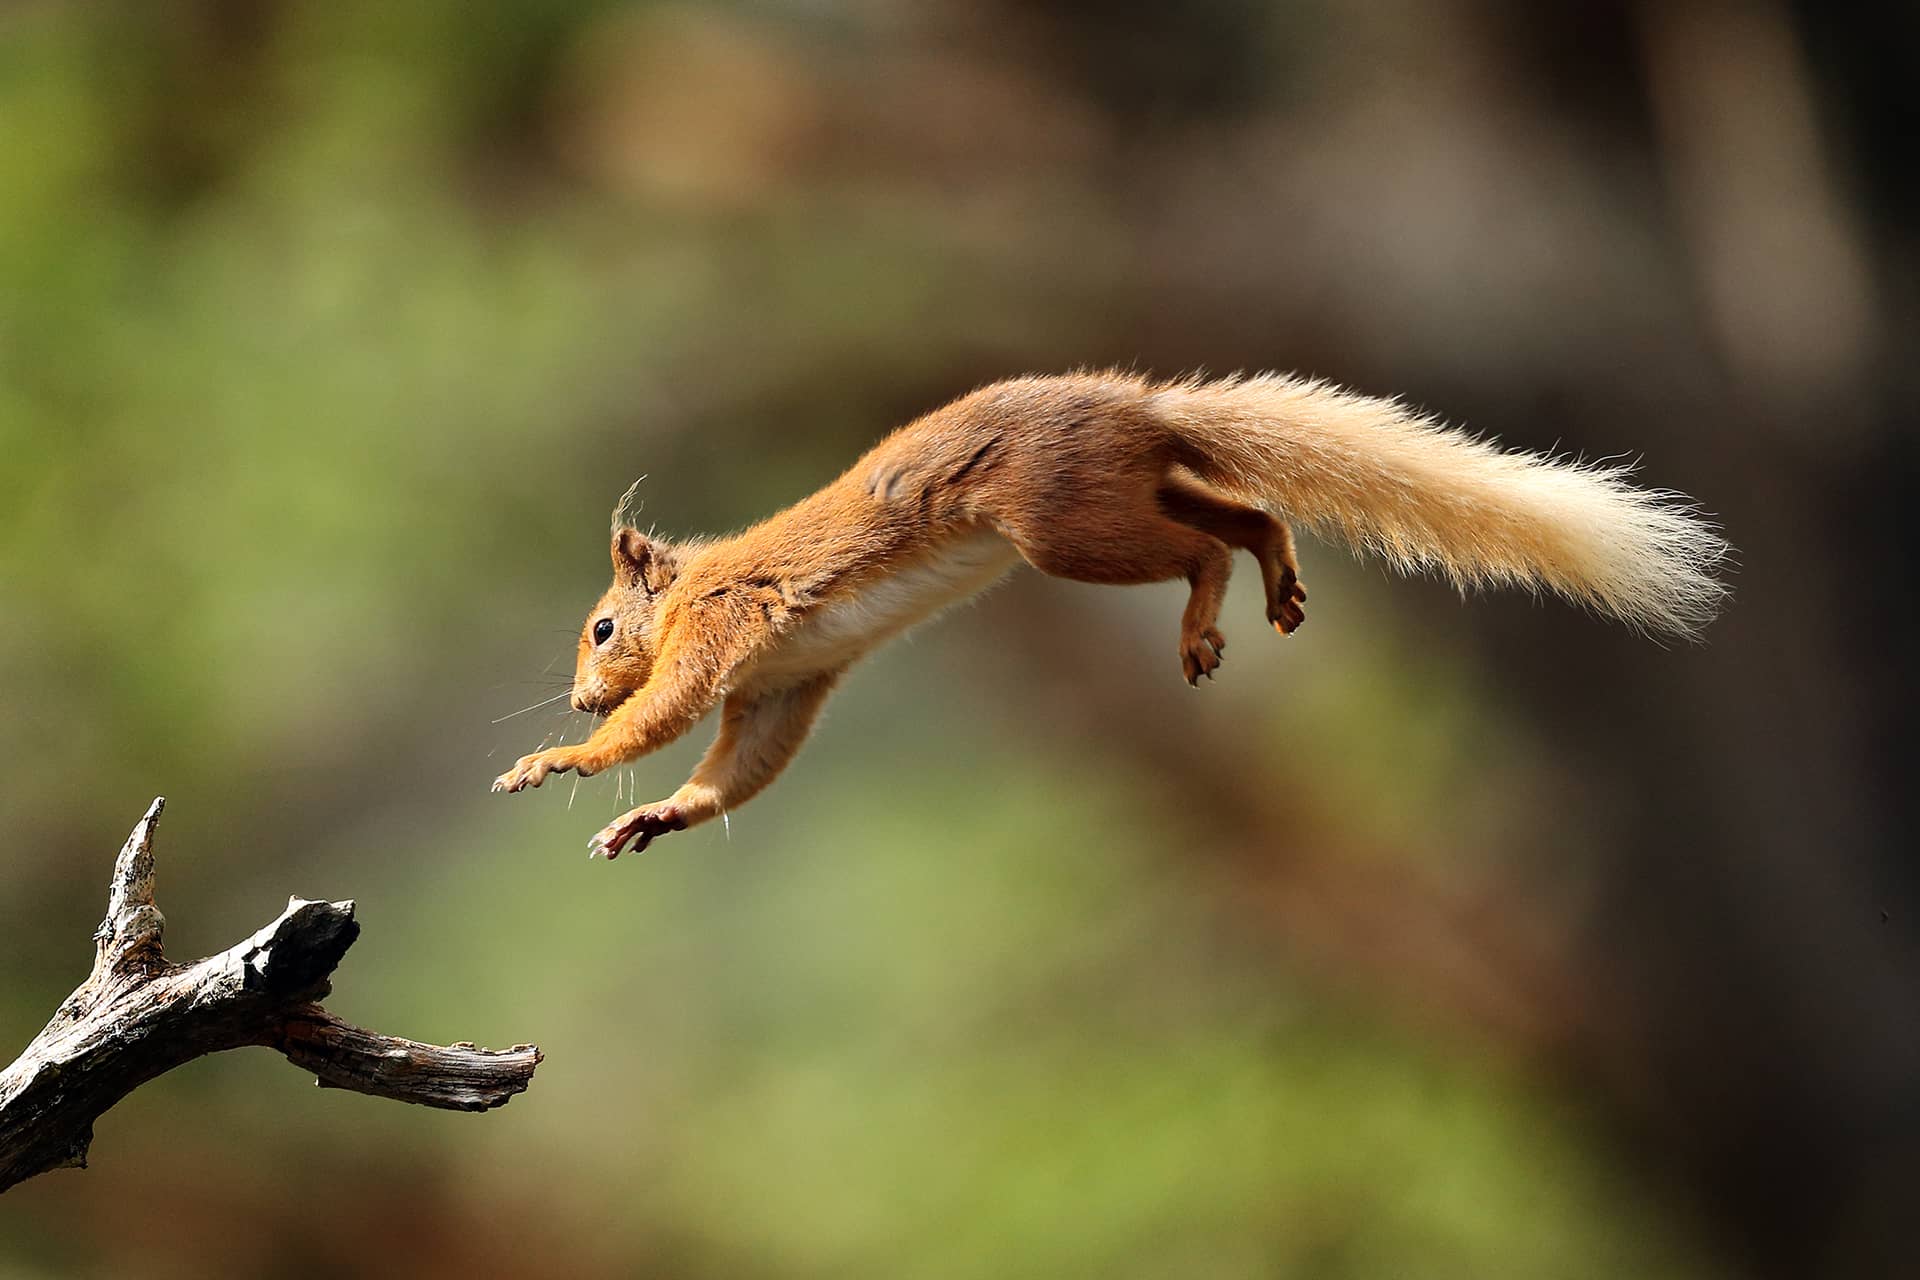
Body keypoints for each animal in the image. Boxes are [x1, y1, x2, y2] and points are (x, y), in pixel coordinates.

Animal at [495, 370, 1728, 859]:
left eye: (601, 629)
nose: (577, 692)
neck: (697, 584)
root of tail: (1141, 407)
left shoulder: (724, 632)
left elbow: (660, 718)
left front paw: (554, 760)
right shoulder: (785, 685)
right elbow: (736, 769)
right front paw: (655, 818)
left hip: (1061, 524)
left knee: (1199, 544)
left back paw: (1201, 625)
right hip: (1119, 493)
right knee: (1245, 511)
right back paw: (1276, 580)